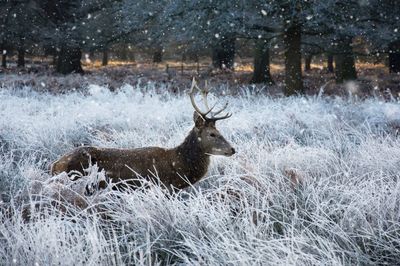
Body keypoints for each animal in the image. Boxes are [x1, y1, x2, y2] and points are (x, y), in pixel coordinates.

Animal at [51, 78, 236, 192]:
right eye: (212, 134)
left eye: (219, 131)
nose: (233, 149)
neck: (179, 167)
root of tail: (55, 165)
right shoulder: (161, 187)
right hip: (78, 178)